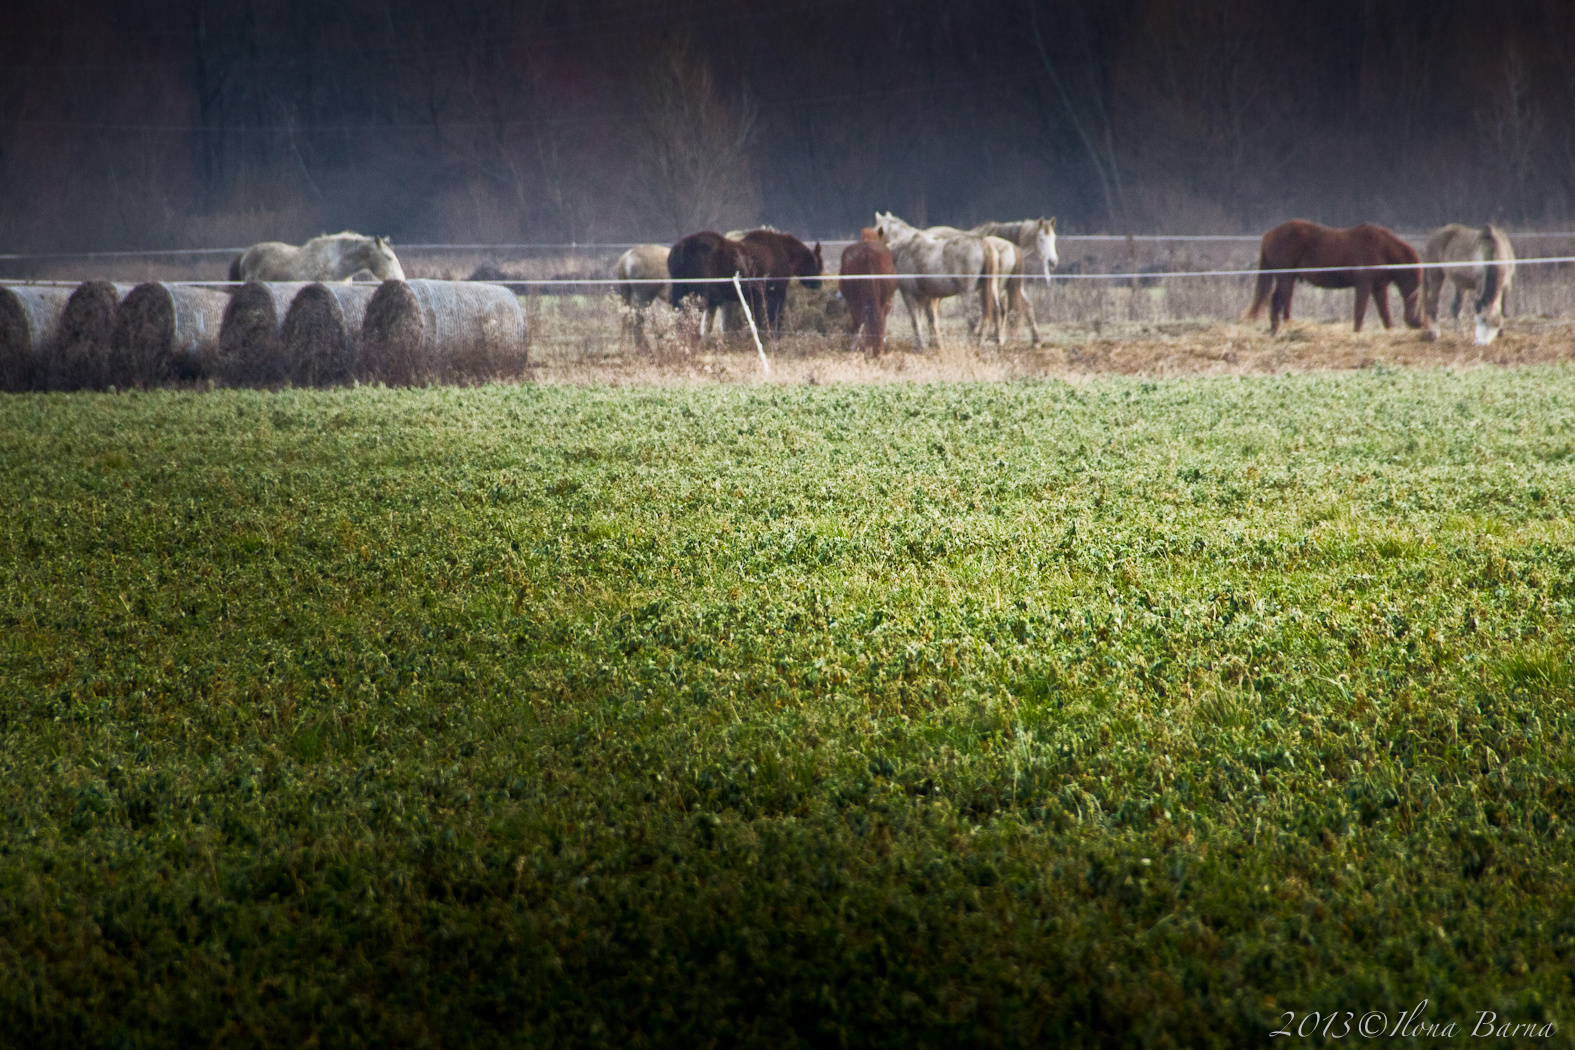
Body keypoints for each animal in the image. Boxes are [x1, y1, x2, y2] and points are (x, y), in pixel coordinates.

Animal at [882, 210, 1001, 351]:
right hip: (991, 288)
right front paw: (935, 345)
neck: (903, 252)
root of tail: (983, 243)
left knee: (974, 319)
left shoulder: (909, 294)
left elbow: (916, 322)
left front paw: (920, 347)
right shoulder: (926, 296)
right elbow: (931, 320)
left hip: (967, 293)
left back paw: (972, 344)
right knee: (994, 313)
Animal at [1241, 220, 1430, 335]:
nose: (1418, 323)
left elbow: (1385, 314)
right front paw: (1356, 333)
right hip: (1285, 278)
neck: (1383, 249)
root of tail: (1268, 235)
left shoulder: (1379, 287)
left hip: (1288, 279)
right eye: (1416, 291)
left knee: (1281, 303)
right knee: (1279, 302)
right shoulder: (1364, 285)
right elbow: (1359, 312)